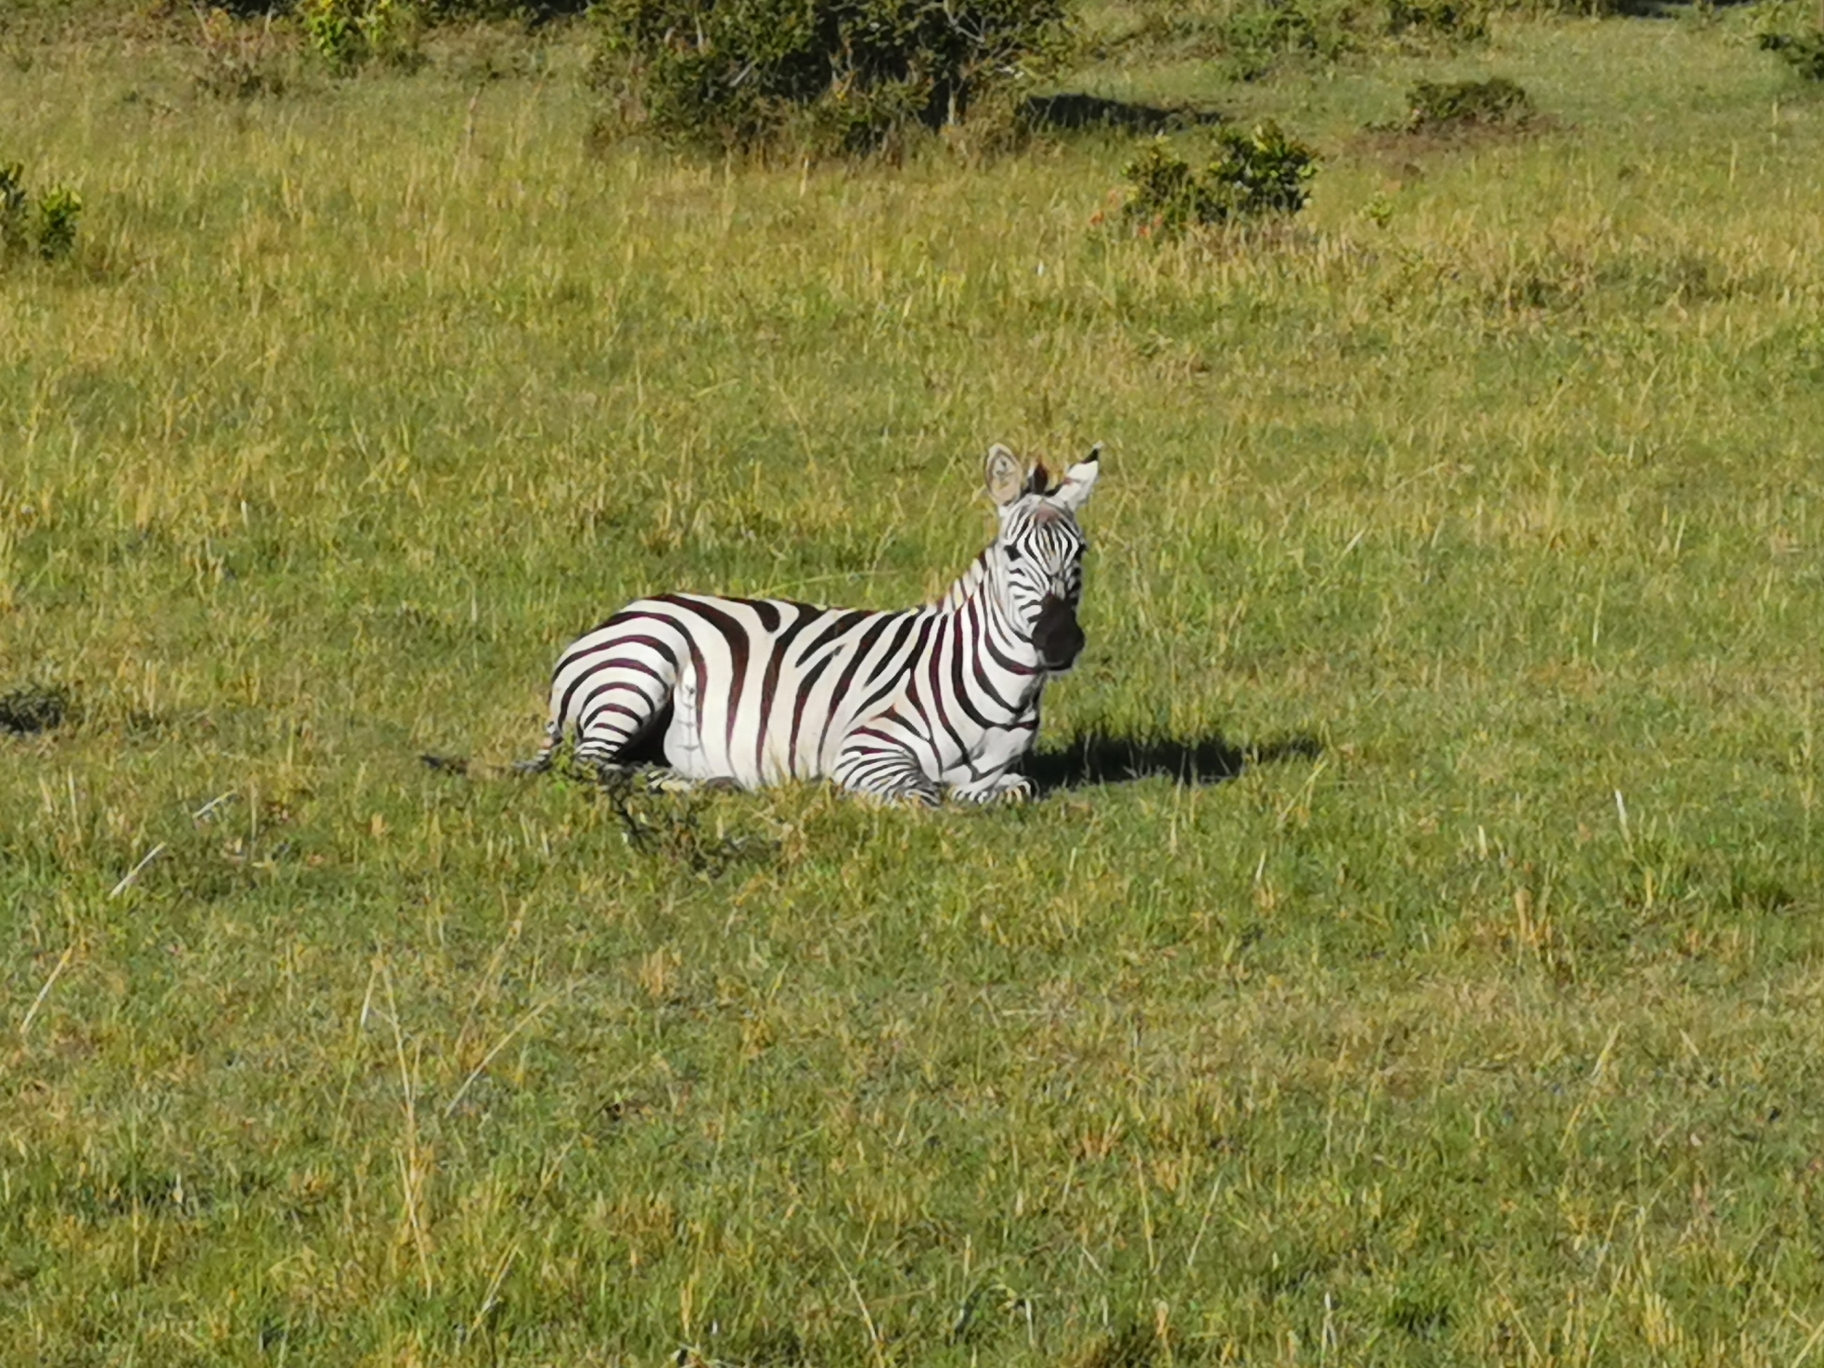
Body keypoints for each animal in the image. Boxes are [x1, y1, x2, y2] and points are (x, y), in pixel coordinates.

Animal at [521, 445, 1101, 809]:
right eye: (1013, 553)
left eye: (1080, 552)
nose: (1059, 642)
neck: (1008, 690)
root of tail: (622, 614)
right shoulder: (866, 746)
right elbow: (923, 795)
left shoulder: (1005, 770)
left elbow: (1011, 788)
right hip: (638, 675)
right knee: (588, 766)